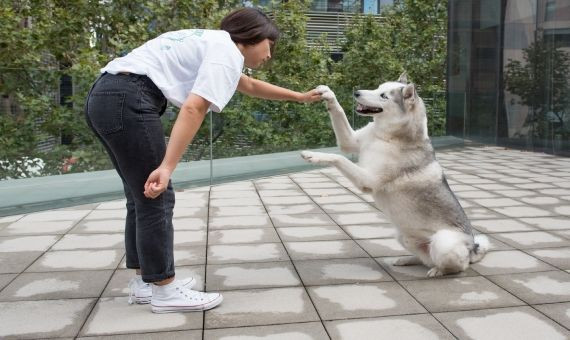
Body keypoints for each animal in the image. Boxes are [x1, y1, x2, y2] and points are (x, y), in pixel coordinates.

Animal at [302, 72, 488, 276]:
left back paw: (439, 271)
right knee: (425, 259)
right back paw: (407, 260)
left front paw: (313, 155)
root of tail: (472, 249)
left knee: (457, 266)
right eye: (377, 87)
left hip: (443, 242)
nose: (357, 92)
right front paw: (327, 93)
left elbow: (338, 158)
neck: (384, 136)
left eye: (383, 96)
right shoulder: (349, 141)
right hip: (402, 237)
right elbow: (339, 112)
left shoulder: (368, 179)